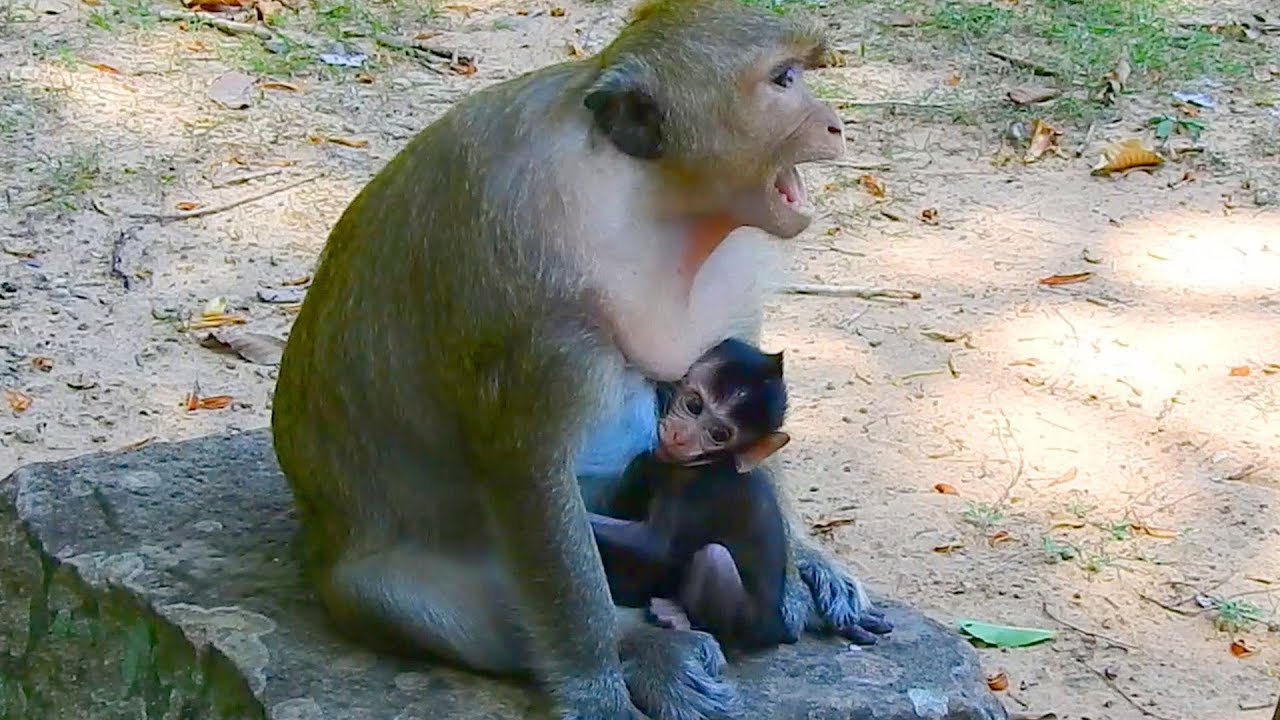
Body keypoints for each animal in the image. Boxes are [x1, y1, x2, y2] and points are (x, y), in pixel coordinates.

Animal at [588, 337, 797, 652]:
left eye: (719, 435)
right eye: (694, 405)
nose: (681, 437)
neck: (704, 464)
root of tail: (777, 629)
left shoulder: (706, 490)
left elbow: (654, 545)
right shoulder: (654, 460)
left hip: (750, 626)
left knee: (714, 559)